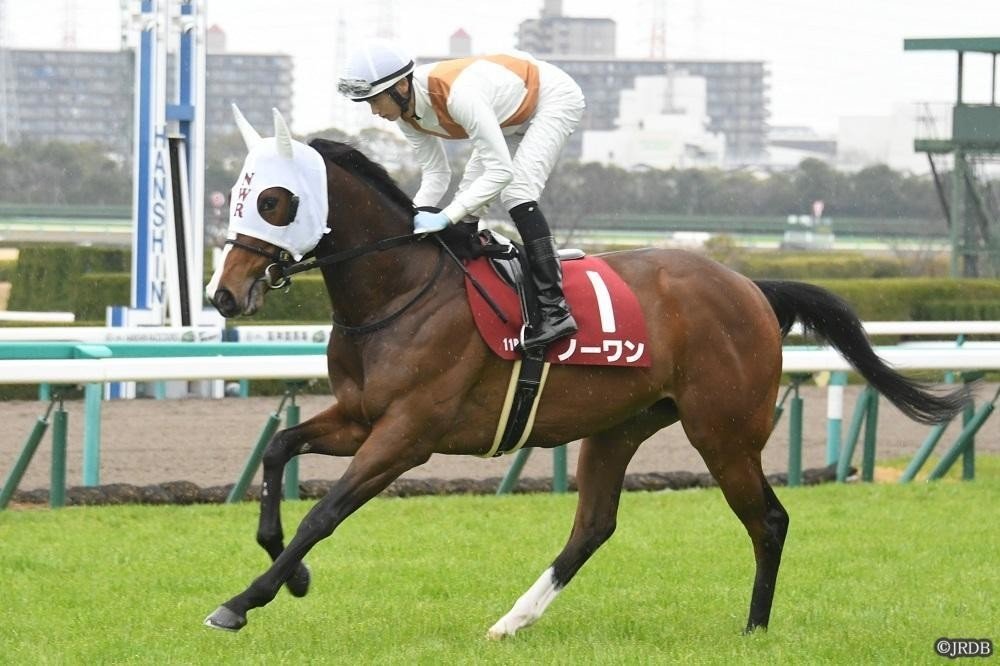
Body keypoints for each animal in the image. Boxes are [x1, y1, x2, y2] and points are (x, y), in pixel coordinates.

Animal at [203, 109, 969, 637]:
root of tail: (751, 286)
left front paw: (242, 601)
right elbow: (277, 451)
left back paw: (754, 628)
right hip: (620, 427)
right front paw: (292, 574)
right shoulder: (361, 416)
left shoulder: (407, 434)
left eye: (273, 200)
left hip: (722, 430)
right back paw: (512, 621)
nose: (224, 294)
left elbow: (325, 512)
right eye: (239, 194)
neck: (400, 291)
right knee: (594, 525)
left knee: (769, 519)